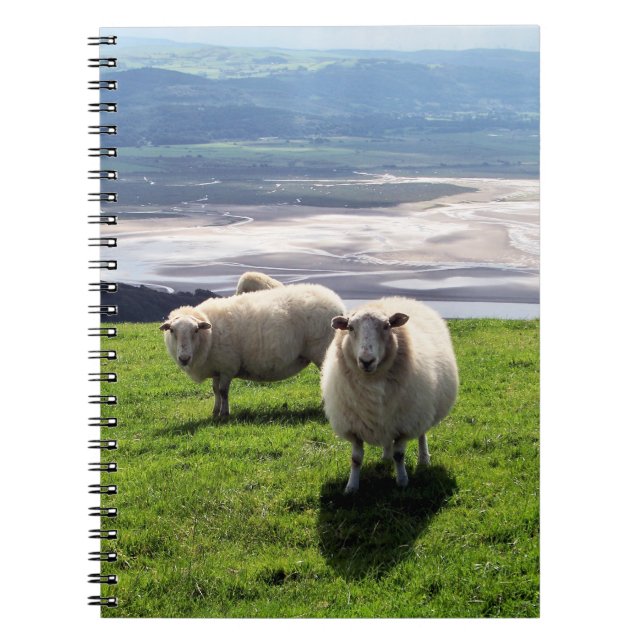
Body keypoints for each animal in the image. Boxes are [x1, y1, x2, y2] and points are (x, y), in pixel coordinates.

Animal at [160, 283, 345, 419]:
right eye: (172, 330)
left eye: (196, 330)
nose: (184, 358)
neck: (209, 336)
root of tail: (336, 301)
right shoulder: (217, 367)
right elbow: (215, 391)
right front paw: (215, 412)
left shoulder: (227, 366)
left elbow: (223, 391)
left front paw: (224, 414)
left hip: (321, 351)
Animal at [320, 297, 458, 492]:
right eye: (350, 327)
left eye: (387, 326)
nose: (366, 361)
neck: (372, 381)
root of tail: (398, 298)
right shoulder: (354, 426)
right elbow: (356, 459)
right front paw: (351, 487)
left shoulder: (405, 423)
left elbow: (399, 455)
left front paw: (402, 481)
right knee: (387, 439)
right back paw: (385, 457)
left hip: (421, 409)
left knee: (421, 434)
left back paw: (424, 459)